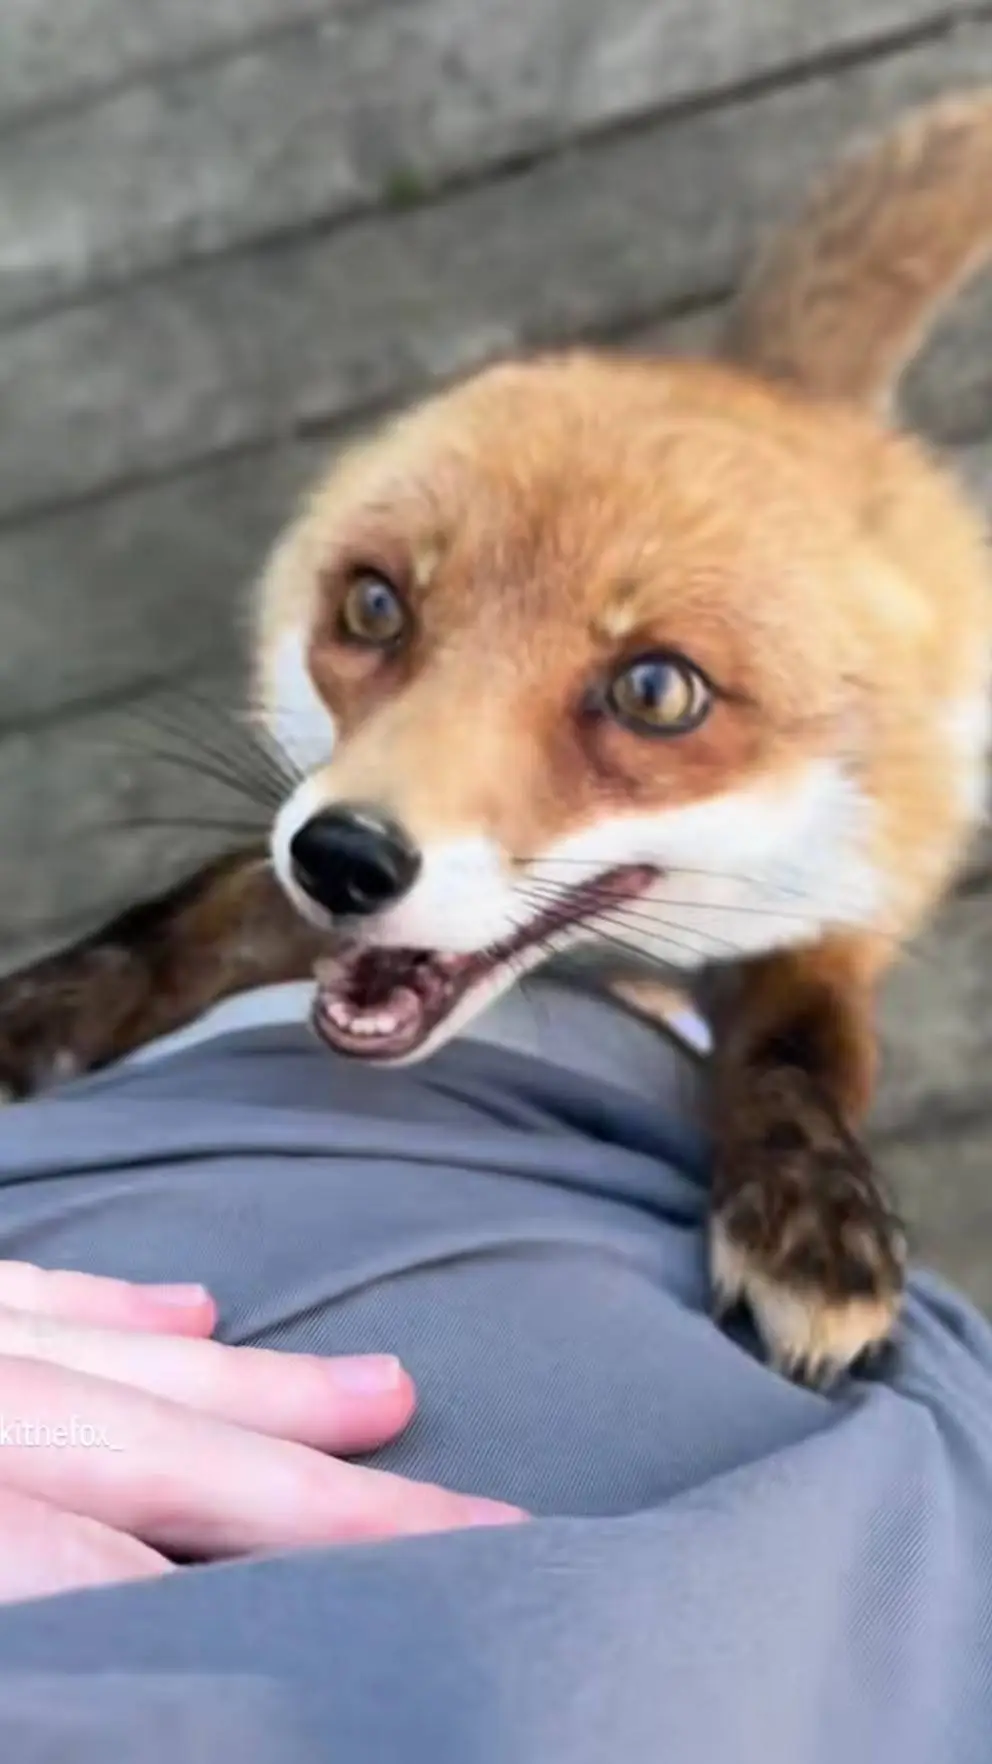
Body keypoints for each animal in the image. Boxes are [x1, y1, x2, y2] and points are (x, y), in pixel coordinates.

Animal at [2, 90, 992, 1385]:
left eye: (655, 692)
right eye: (375, 607)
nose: (344, 859)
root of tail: (777, 392)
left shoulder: (836, 908)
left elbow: (794, 1054)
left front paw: (814, 1212)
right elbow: (175, 920)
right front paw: (38, 1015)